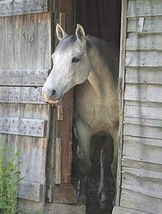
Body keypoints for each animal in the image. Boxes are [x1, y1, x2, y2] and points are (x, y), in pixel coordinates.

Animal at [42, 23, 119, 209]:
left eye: (75, 59)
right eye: (54, 57)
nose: (48, 92)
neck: (102, 94)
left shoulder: (116, 132)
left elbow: (113, 166)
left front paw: (113, 201)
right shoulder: (83, 129)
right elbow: (84, 164)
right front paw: (81, 196)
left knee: (104, 161)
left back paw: (104, 196)